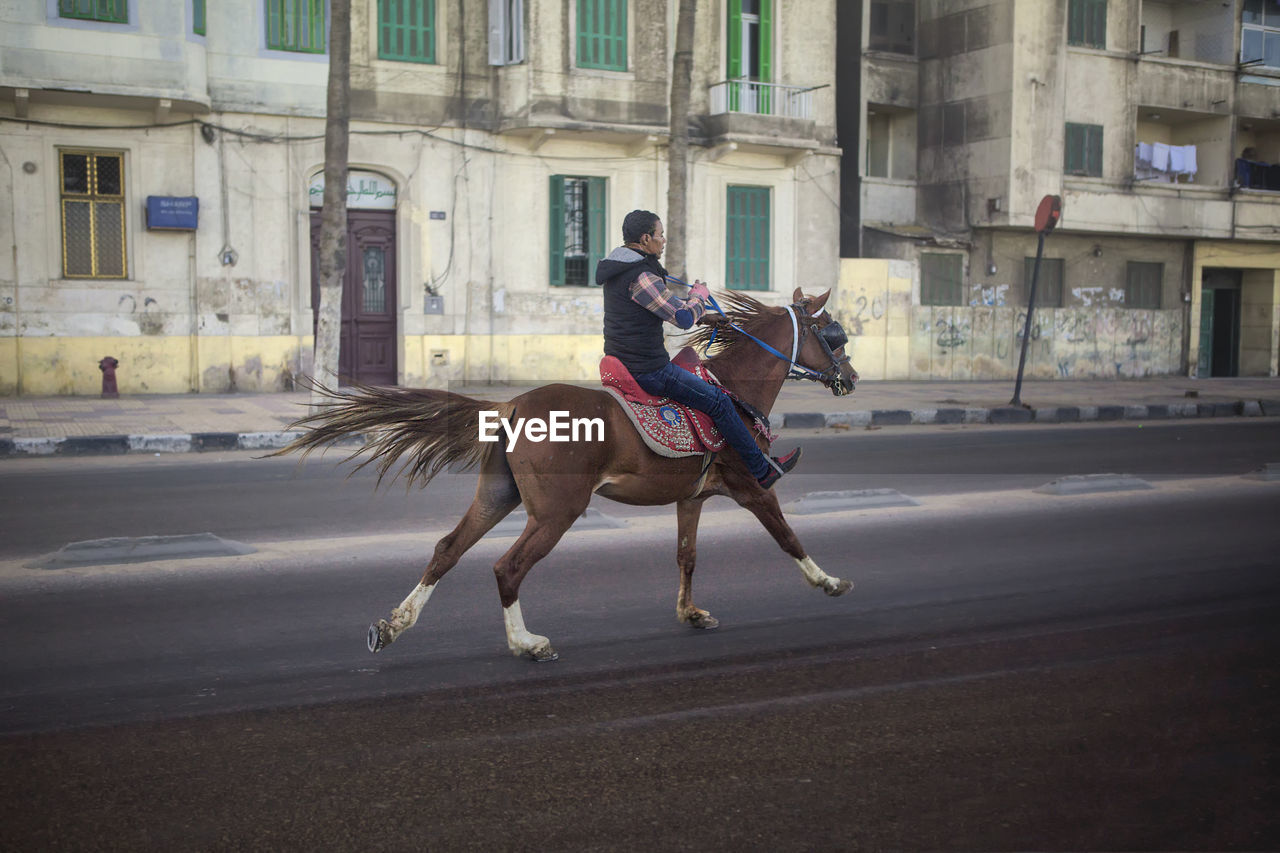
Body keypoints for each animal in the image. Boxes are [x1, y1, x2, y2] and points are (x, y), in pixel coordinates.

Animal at [280, 285, 860, 655]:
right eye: (835, 336)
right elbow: (787, 537)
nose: (851, 378)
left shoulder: (691, 496)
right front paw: (829, 581)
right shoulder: (748, 486)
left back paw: (394, 626)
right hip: (557, 511)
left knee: (447, 549)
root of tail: (513, 405)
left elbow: (687, 556)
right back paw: (525, 644)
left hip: (498, 495)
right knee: (507, 567)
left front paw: (691, 613)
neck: (731, 390)